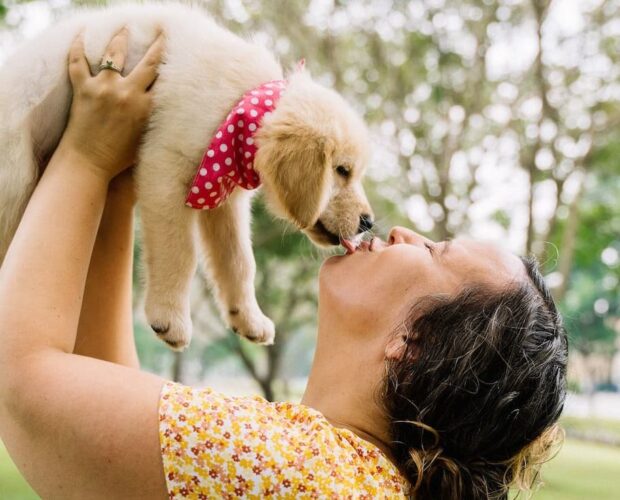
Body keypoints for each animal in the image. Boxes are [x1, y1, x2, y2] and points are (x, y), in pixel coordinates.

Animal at [0, 2, 372, 352]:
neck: (237, 103)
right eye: (342, 171)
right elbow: (181, 253)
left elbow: (239, 261)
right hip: (15, 179)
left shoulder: (222, 194)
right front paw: (170, 319)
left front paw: (248, 319)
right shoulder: (165, 166)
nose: (368, 222)